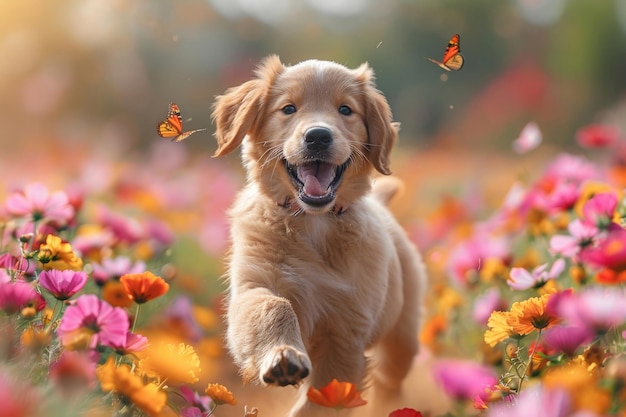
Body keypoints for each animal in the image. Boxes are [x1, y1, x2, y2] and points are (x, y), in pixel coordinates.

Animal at [212, 56, 426, 416]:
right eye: (288, 108)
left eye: (345, 109)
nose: (317, 137)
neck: (313, 223)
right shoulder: (253, 286)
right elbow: (275, 306)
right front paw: (282, 356)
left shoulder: (347, 332)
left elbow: (324, 398)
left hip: (403, 332)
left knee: (390, 378)